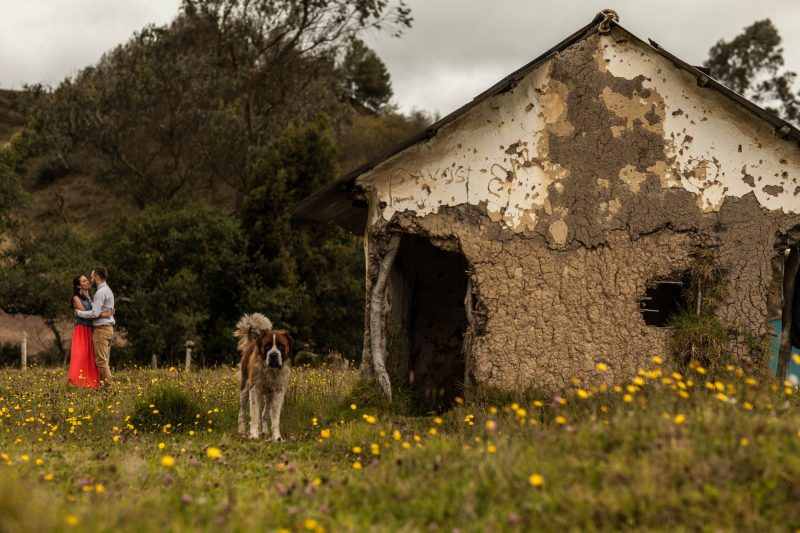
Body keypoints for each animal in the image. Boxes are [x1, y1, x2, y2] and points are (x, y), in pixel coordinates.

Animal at [234, 312, 294, 440]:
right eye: (267, 346)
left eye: (281, 346)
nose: (273, 355)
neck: (272, 371)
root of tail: (252, 342)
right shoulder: (255, 389)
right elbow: (254, 414)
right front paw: (254, 435)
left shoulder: (278, 392)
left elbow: (275, 417)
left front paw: (277, 437)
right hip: (245, 388)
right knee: (242, 411)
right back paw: (242, 430)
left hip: (269, 395)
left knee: (266, 413)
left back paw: (265, 431)